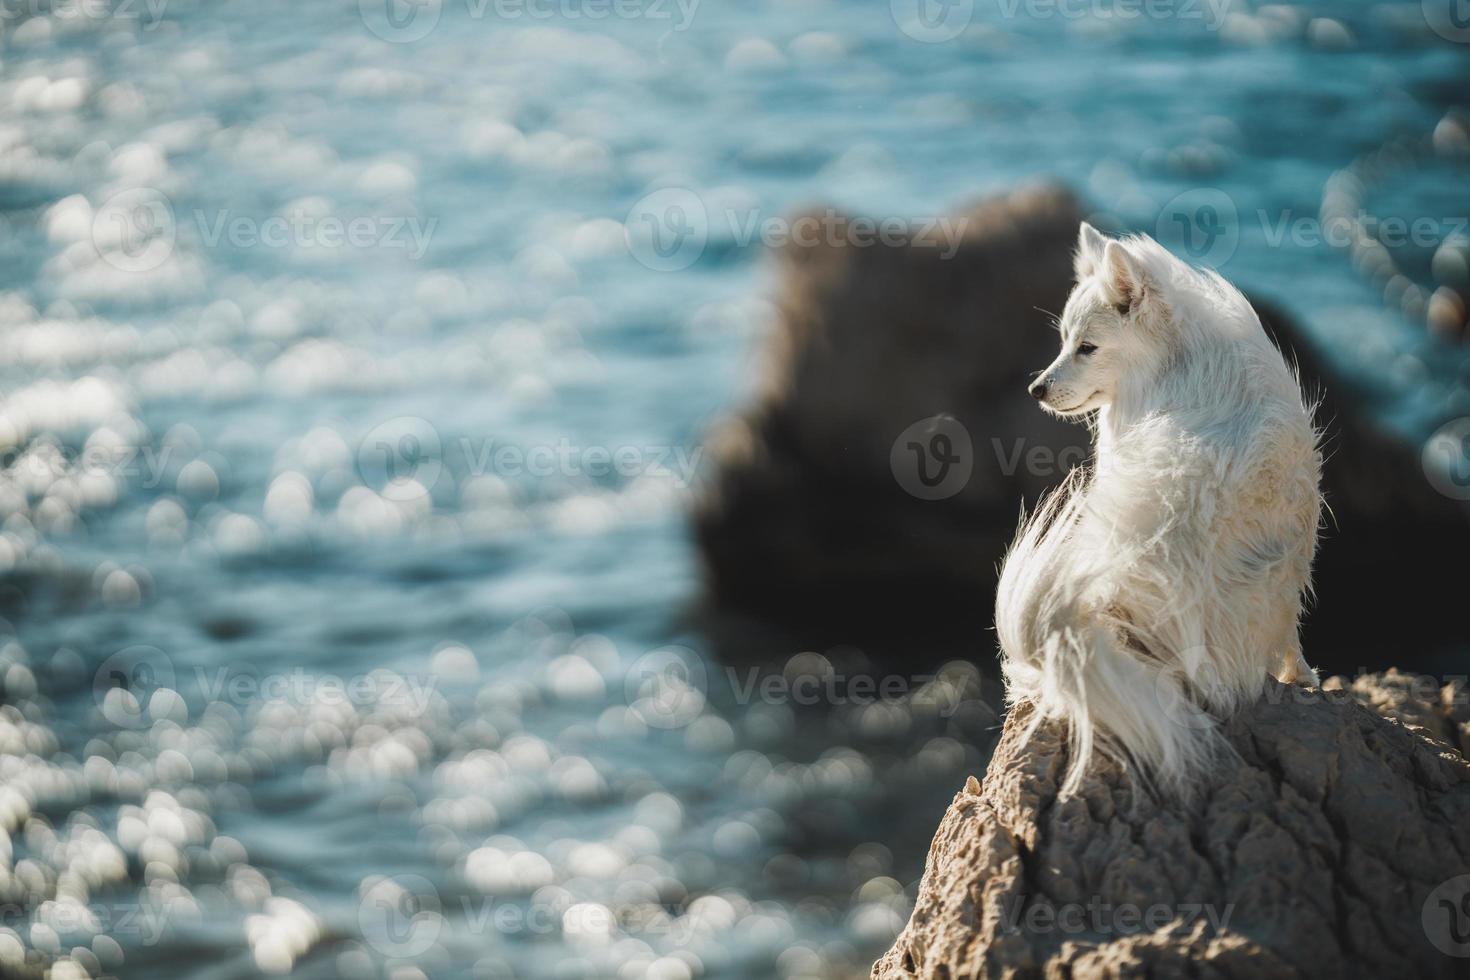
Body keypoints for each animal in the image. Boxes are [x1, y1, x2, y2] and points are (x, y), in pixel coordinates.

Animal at [999, 226, 1323, 799]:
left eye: (1086, 348)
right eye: (1063, 341)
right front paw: (1302, 675)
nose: (1036, 389)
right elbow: (1293, 630)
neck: (1178, 358)